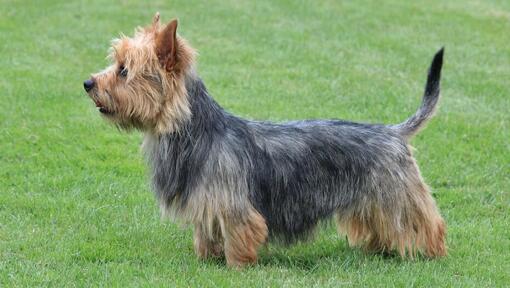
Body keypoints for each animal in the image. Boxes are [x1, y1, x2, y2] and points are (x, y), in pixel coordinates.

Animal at [83, 12, 446, 266]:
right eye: (116, 64)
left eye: (124, 71)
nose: (88, 83)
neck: (197, 133)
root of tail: (393, 131)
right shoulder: (206, 203)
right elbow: (205, 235)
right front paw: (207, 259)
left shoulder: (234, 207)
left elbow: (239, 238)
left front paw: (236, 266)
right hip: (372, 203)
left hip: (398, 195)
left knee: (428, 223)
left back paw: (433, 252)